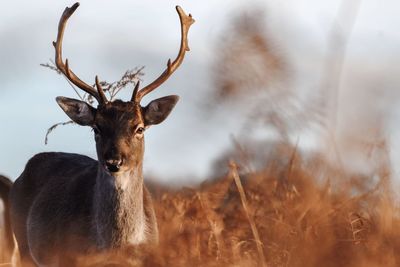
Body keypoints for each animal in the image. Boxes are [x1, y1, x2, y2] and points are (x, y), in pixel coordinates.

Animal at [9, 2, 195, 267]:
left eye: (139, 128)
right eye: (96, 128)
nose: (113, 161)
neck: (116, 247)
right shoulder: (69, 259)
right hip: (24, 247)